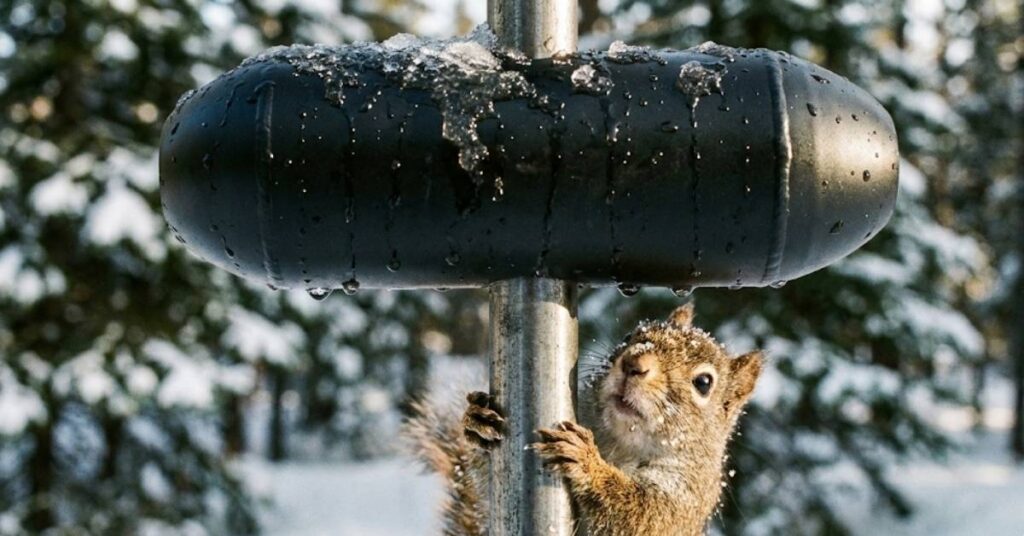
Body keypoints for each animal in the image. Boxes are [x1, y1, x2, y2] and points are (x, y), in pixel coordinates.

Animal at [404, 303, 763, 536]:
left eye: (703, 382)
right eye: (633, 334)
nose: (633, 363)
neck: (620, 444)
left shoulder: (682, 499)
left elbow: (638, 517)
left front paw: (587, 462)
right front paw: (476, 421)